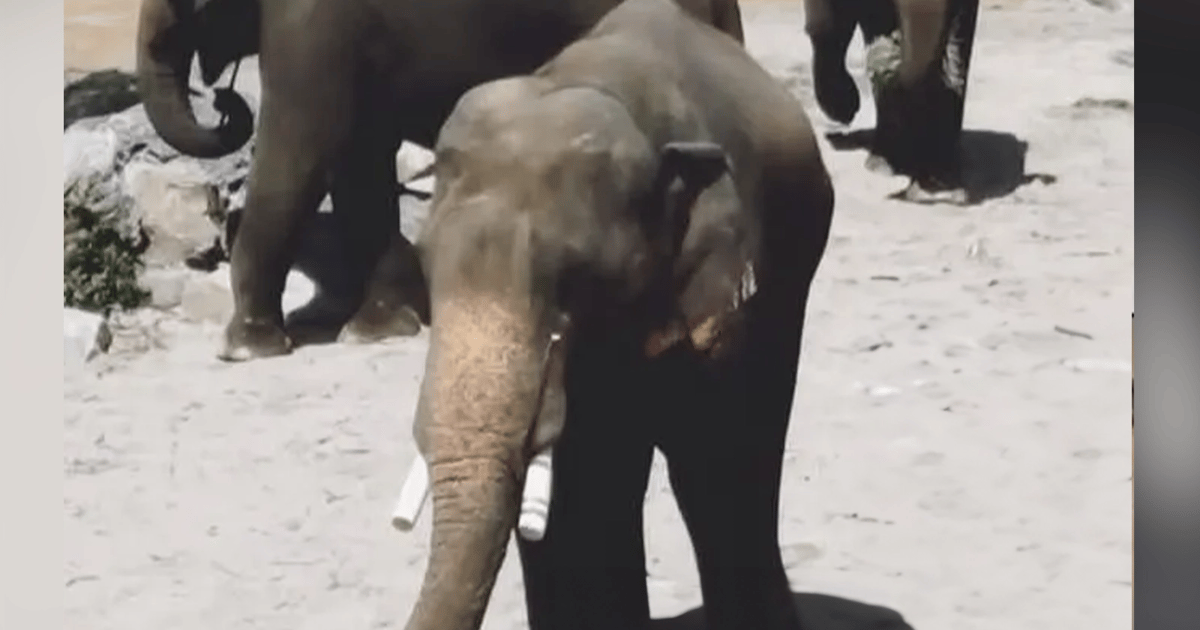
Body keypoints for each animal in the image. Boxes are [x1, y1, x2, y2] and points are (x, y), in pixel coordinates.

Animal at [134, 0, 745, 362]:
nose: (221, 100)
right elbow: (358, 160)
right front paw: (381, 326)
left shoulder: (315, 22)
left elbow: (302, 147)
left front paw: (247, 346)